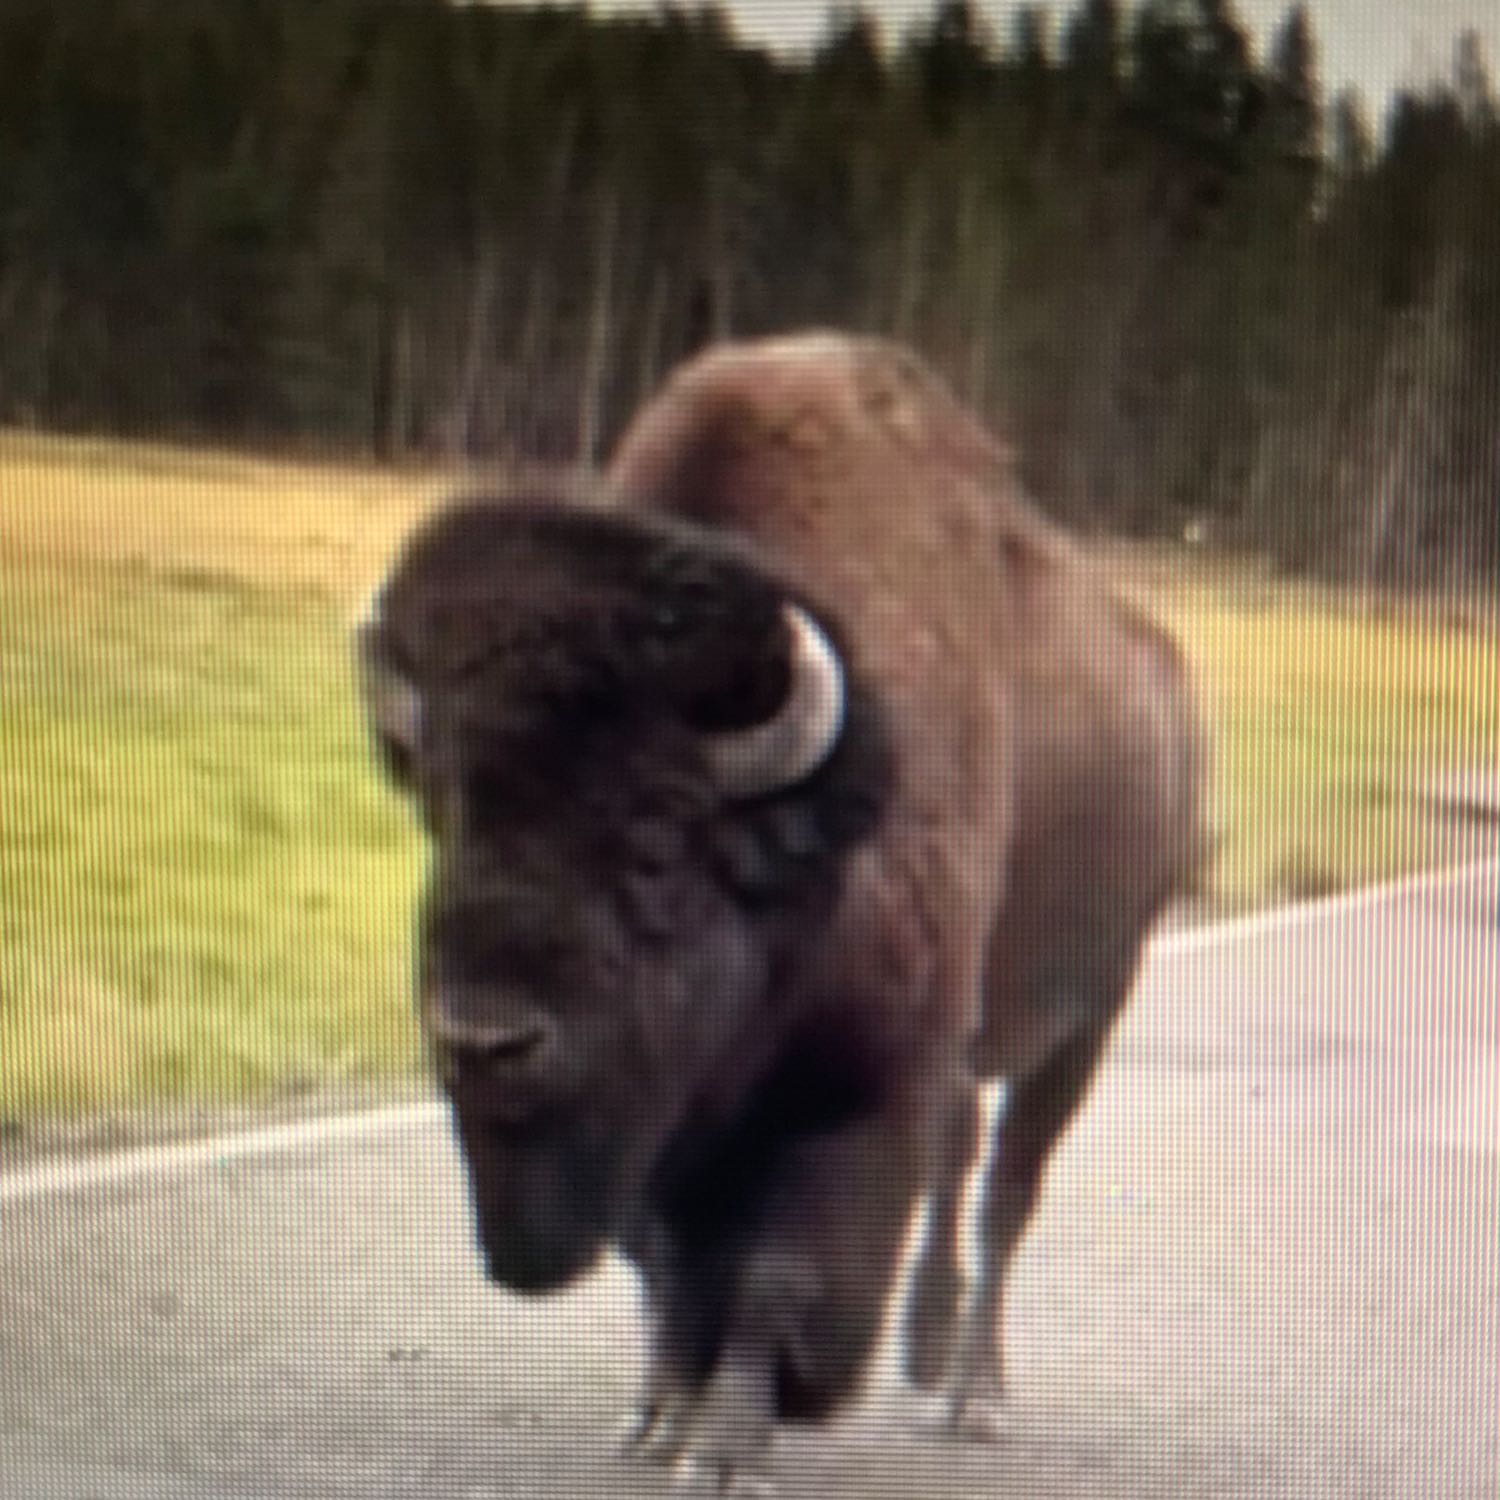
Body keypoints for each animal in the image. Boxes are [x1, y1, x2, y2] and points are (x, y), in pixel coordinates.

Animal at [355, 332, 1209, 1490]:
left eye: (654, 840)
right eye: (447, 815)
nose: (484, 1039)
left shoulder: (856, 1089)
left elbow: (777, 1274)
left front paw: (728, 1453)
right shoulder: (670, 1123)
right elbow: (666, 1266)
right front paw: (659, 1416)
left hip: (1087, 1018)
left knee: (1007, 1195)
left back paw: (975, 1396)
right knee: (963, 1160)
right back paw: (924, 1352)